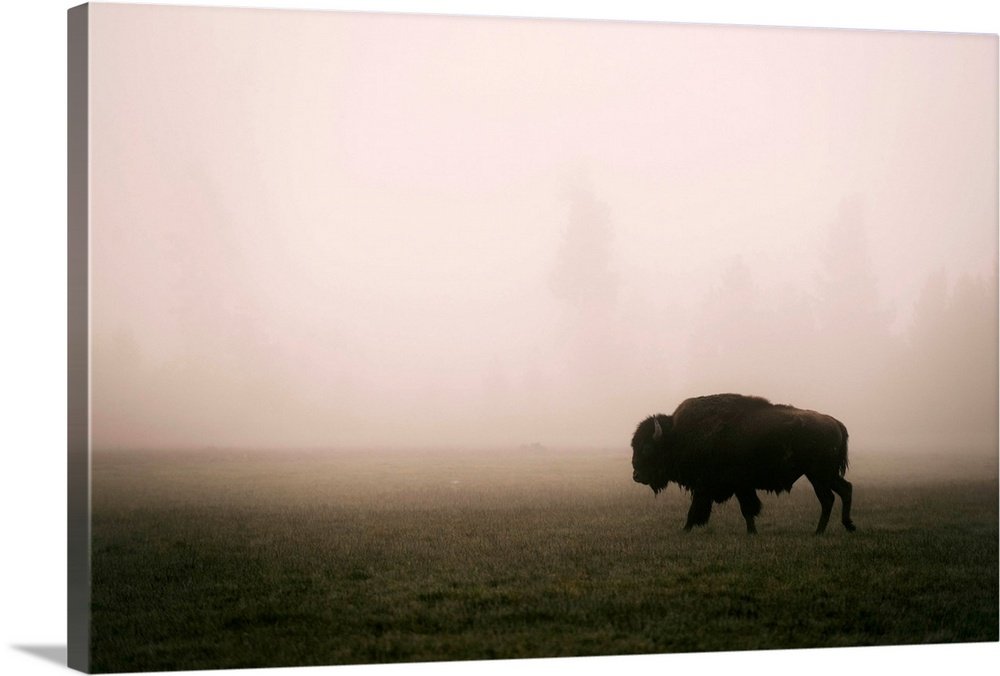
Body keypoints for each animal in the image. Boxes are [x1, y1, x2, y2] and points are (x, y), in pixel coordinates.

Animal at [631, 393, 855, 534]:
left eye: (647, 448)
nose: (636, 475)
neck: (678, 435)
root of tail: (835, 423)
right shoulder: (730, 487)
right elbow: (744, 509)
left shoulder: (724, 485)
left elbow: (741, 508)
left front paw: (685, 529)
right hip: (822, 475)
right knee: (842, 491)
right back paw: (843, 526)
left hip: (819, 475)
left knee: (830, 497)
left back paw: (821, 531)